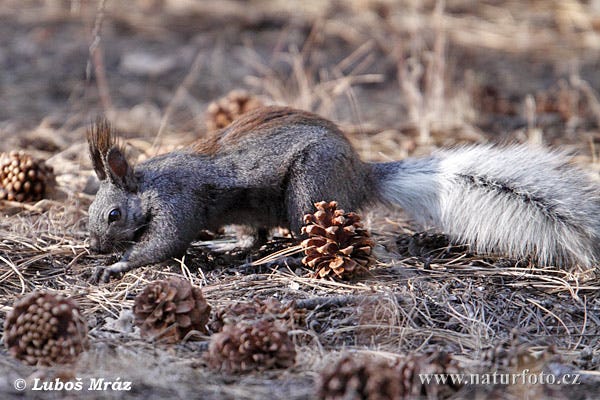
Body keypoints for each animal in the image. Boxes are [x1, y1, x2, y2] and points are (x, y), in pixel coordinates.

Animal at [88, 104, 600, 282]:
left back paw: (273, 262)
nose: (92, 247)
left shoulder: (180, 202)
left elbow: (164, 243)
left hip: (308, 191)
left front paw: (117, 265)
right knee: (255, 236)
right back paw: (232, 247)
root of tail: (360, 177)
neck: (149, 186)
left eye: (113, 215)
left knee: (293, 242)